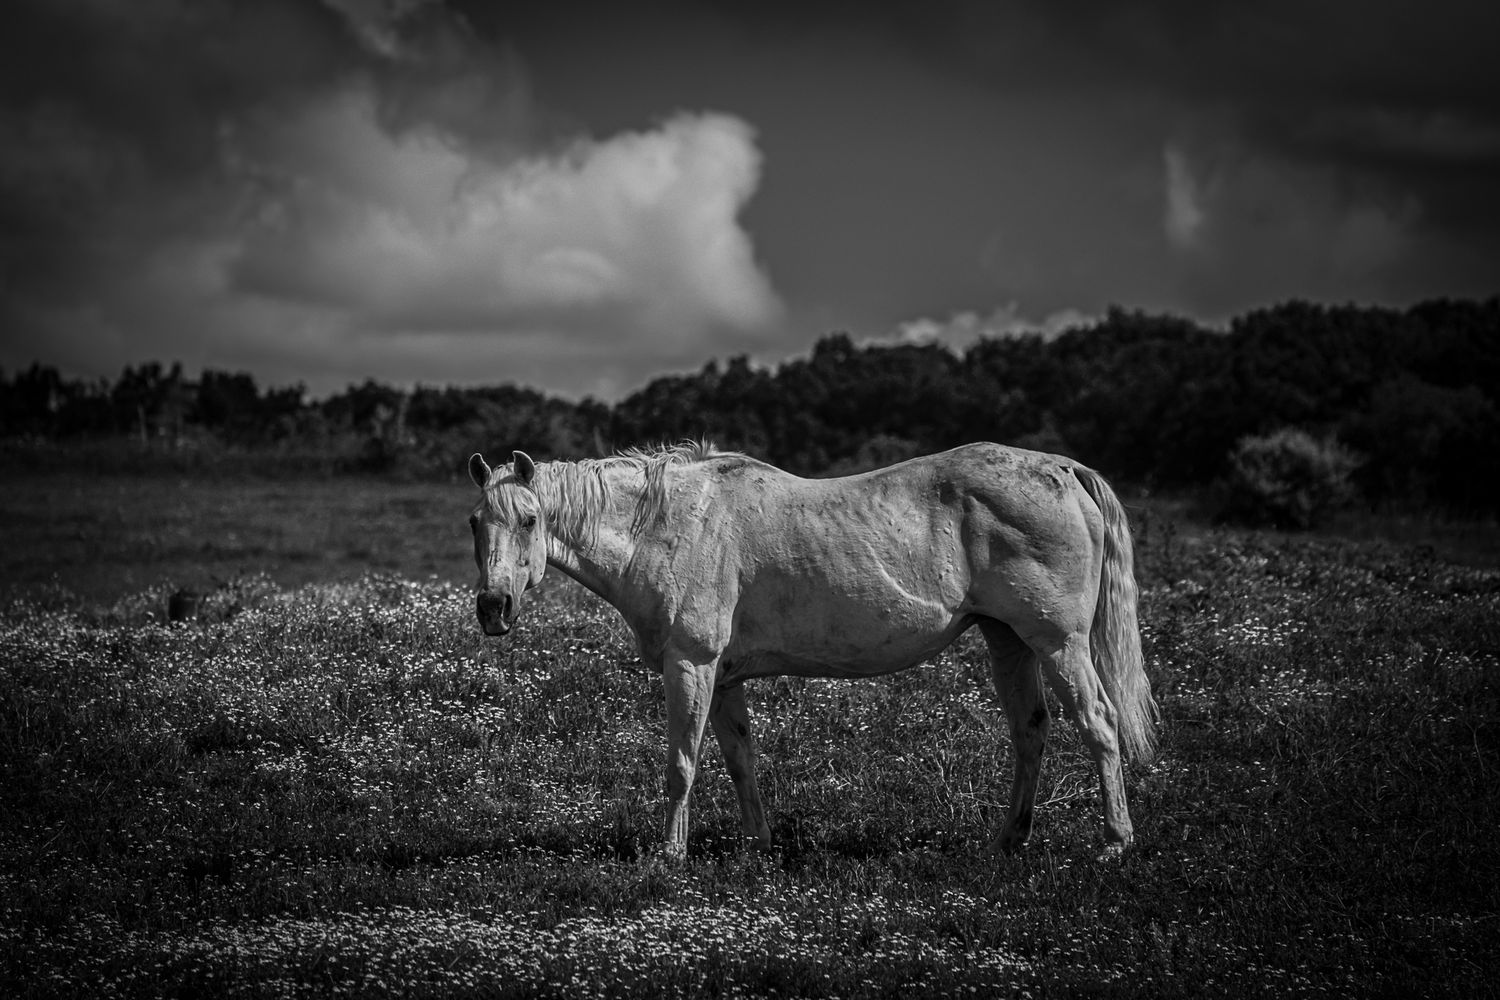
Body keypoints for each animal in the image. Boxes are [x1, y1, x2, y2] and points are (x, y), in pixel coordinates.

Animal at [466, 441, 1158, 859]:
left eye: (529, 519)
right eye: (476, 522)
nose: (493, 609)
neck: (668, 526)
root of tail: (1064, 470)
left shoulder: (690, 665)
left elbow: (682, 764)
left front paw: (669, 858)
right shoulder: (725, 677)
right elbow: (740, 761)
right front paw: (761, 848)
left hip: (1058, 643)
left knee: (1099, 724)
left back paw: (1115, 842)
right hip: (1008, 641)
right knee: (1031, 731)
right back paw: (1009, 840)